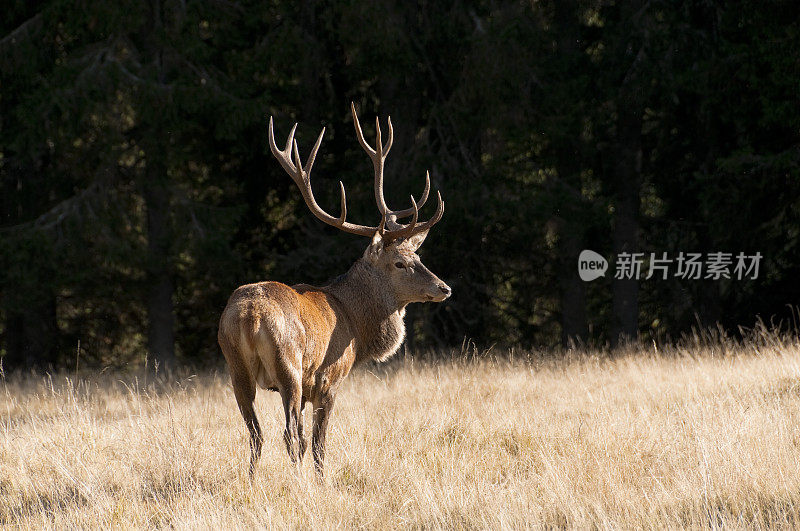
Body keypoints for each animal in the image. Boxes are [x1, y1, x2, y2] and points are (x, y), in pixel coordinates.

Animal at [216, 104, 450, 478]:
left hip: (236, 367)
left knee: (255, 433)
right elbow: (319, 443)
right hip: (290, 367)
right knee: (289, 434)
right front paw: (322, 480)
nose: (443, 288)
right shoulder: (329, 380)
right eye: (400, 263)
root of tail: (249, 316)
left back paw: (251, 482)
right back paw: (299, 482)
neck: (354, 321)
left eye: (418, 256)